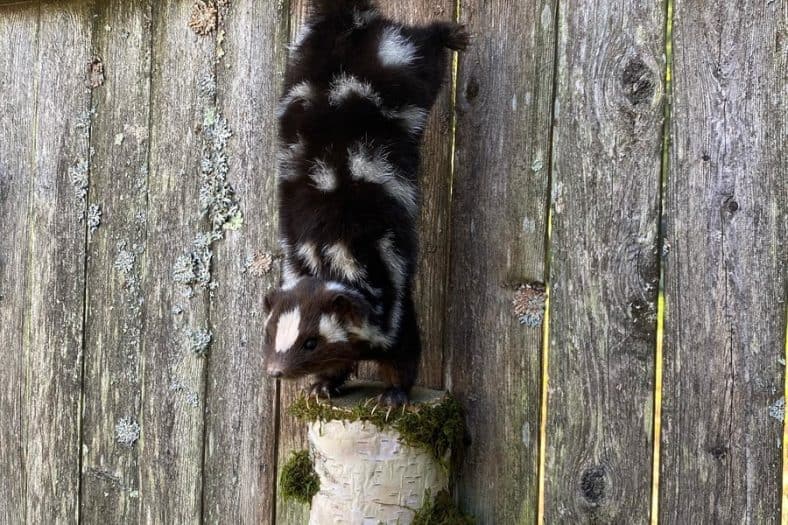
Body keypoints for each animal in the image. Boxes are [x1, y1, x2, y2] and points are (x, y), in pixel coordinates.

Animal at [264, 0, 468, 406]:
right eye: (272, 335)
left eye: (311, 342)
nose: (276, 371)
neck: (328, 258)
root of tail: (344, 21)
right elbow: (341, 362)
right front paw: (324, 385)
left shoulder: (390, 288)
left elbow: (402, 347)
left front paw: (393, 395)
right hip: (300, 59)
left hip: (395, 59)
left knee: (425, 55)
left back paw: (450, 35)